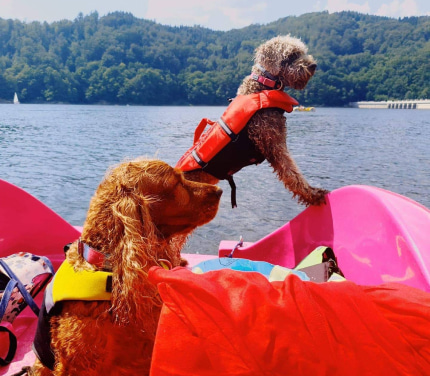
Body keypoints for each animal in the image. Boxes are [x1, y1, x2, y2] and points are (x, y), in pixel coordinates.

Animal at [180, 35, 328, 206]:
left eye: (302, 52)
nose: (313, 65)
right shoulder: (274, 145)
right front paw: (313, 194)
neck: (262, 85)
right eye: (291, 55)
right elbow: (292, 174)